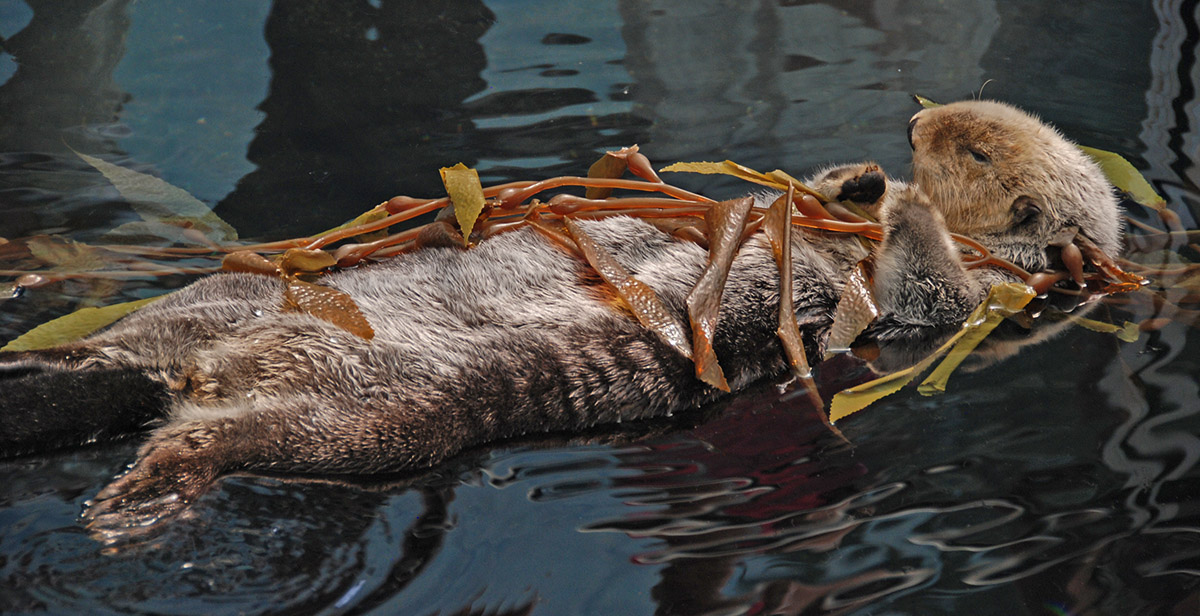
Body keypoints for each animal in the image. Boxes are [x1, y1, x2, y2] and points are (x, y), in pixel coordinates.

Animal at [0, 100, 1123, 533]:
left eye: (979, 149)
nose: (916, 127)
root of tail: (217, 366)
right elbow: (795, 199)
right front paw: (856, 182)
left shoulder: (958, 310)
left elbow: (931, 288)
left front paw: (903, 209)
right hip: (233, 297)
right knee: (119, 360)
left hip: (377, 416)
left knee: (215, 435)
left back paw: (146, 488)